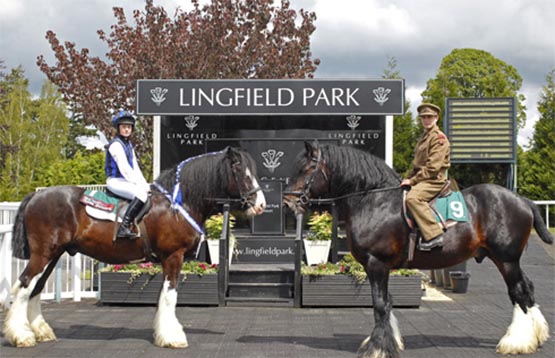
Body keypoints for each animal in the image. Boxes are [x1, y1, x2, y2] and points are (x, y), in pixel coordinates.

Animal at [2, 148, 268, 350]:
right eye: (242, 173)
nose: (261, 205)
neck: (177, 205)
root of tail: (36, 196)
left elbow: (164, 296)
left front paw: (164, 333)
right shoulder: (173, 257)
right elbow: (170, 296)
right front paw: (172, 337)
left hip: (53, 256)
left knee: (35, 289)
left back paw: (41, 331)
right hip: (43, 255)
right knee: (24, 285)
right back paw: (21, 336)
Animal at [284, 143, 552, 358]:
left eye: (306, 170)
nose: (288, 202)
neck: (373, 200)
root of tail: (522, 200)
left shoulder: (376, 263)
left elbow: (380, 304)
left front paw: (378, 347)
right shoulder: (380, 268)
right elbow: (388, 302)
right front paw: (389, 341)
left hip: (506, 260)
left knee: (518, 292)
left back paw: (516, 342)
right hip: (509, 261)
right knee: (526, 291)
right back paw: (535, 336)